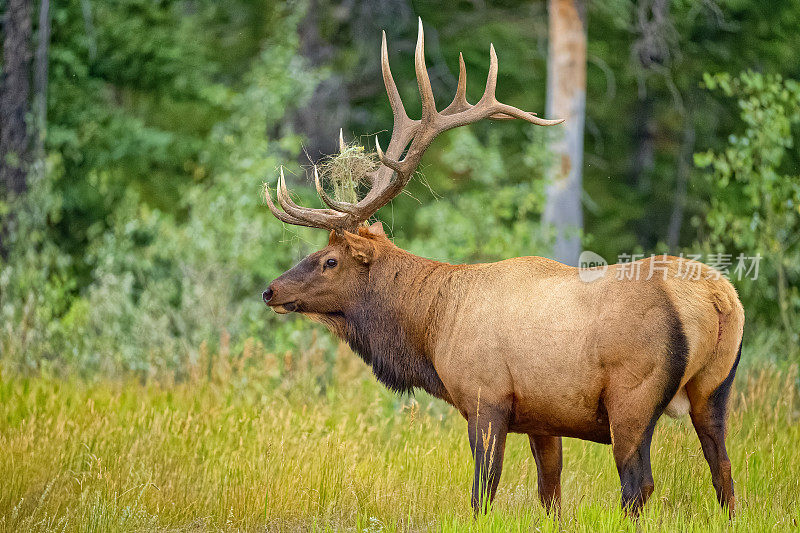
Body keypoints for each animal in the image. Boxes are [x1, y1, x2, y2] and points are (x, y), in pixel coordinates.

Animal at [262, 19, 744, 516]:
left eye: (329, 260)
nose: (271, 291)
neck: (432, 328)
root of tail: (720, 299)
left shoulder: (486, 398)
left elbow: (482, 491)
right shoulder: (542, 416)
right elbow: (549, 492)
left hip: (633, 397)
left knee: (638, 485)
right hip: (714, 391)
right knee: (724, 474)